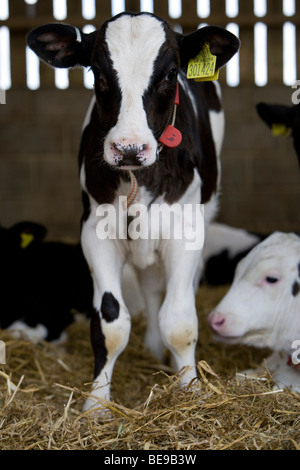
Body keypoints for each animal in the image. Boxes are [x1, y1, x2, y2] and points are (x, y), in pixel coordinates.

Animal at [27, 11, 239, 412]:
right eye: (97, 71)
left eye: (171, 74)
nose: (128, 148)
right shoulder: (95, 232)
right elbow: (111, 325)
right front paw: (96, 404)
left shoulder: (185, 230)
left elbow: (179, 321)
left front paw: (189, 390)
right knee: (151, 286)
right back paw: (153, 347)